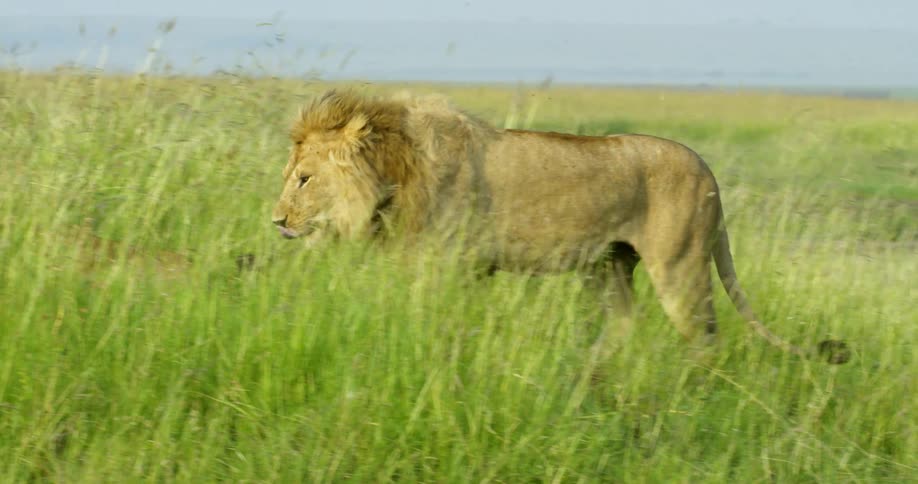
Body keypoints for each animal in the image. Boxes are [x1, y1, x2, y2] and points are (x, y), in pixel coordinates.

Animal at [271, 89, 850, 364]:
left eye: (303, 179)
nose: (276, 221)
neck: (396, 172)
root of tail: (709, 170)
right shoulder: (467, 270)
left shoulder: (446, 266)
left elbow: (433, 321)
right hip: (609, 266)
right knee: (625, 323)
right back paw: (594, 369)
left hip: (680, 266)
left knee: (706, 336)